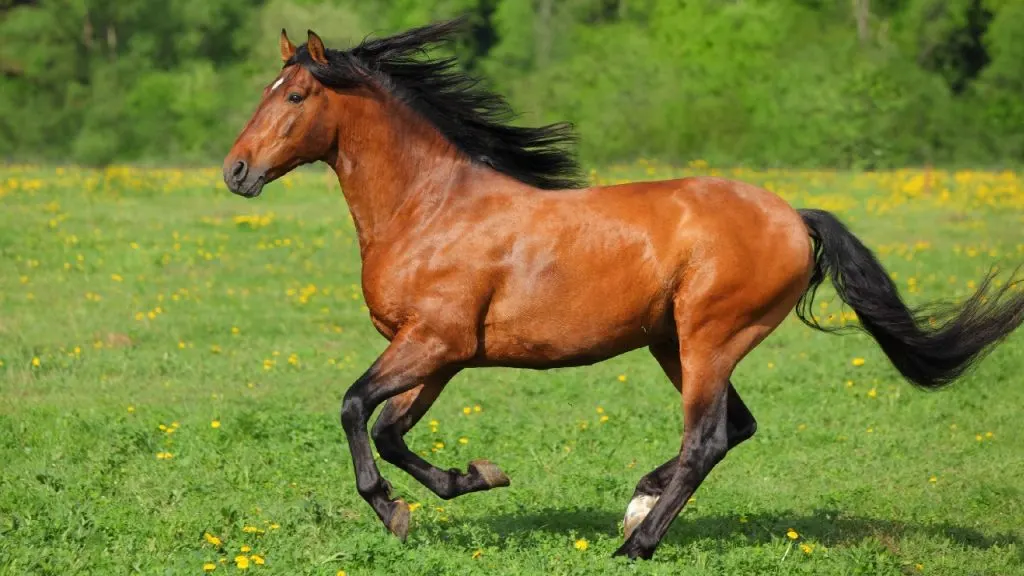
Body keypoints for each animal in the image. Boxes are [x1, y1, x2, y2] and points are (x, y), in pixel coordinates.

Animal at [222, 19, 1024, 561]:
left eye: (295, 95)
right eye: (266, 91)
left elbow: (355, 407)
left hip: (709, 336)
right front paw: (474, 478)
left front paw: (394, 511)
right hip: (673, 342)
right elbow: (391, 430)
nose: (236, 171)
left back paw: (637, 543)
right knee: (735, 428)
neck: (430, 208)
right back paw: (638, 505)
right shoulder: (440, 356)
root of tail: (793, 216)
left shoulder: (433, 342)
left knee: (707, 438)